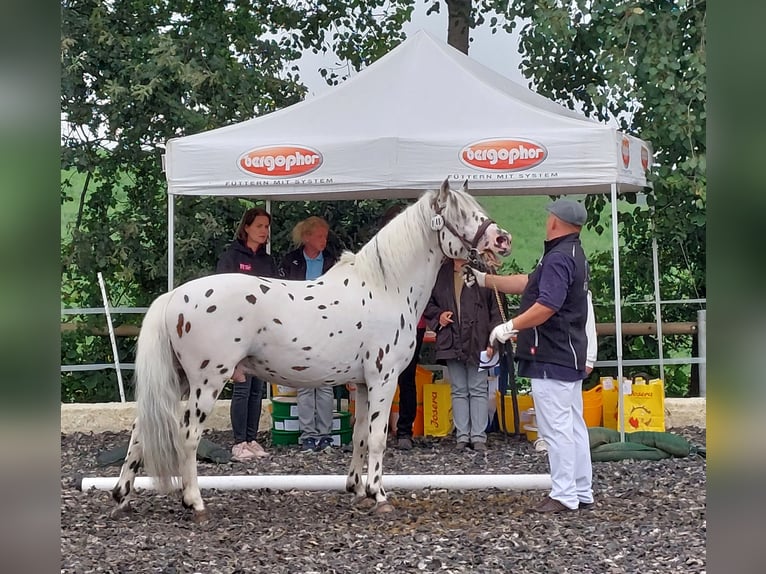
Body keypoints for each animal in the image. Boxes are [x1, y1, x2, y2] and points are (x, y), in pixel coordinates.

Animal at [109, 179, 510, 520]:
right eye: (463, 213)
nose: (502, 239)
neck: (385, 286)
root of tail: (175, 295)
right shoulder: (384, 378)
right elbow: (378, 438)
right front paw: (379, 495)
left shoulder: (362, 383)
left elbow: (360, 435)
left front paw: (357, 489)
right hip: (206, 382)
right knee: (188, 436)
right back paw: (194, 502)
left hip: (178, 381)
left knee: (140, 429)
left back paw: (121, 496)